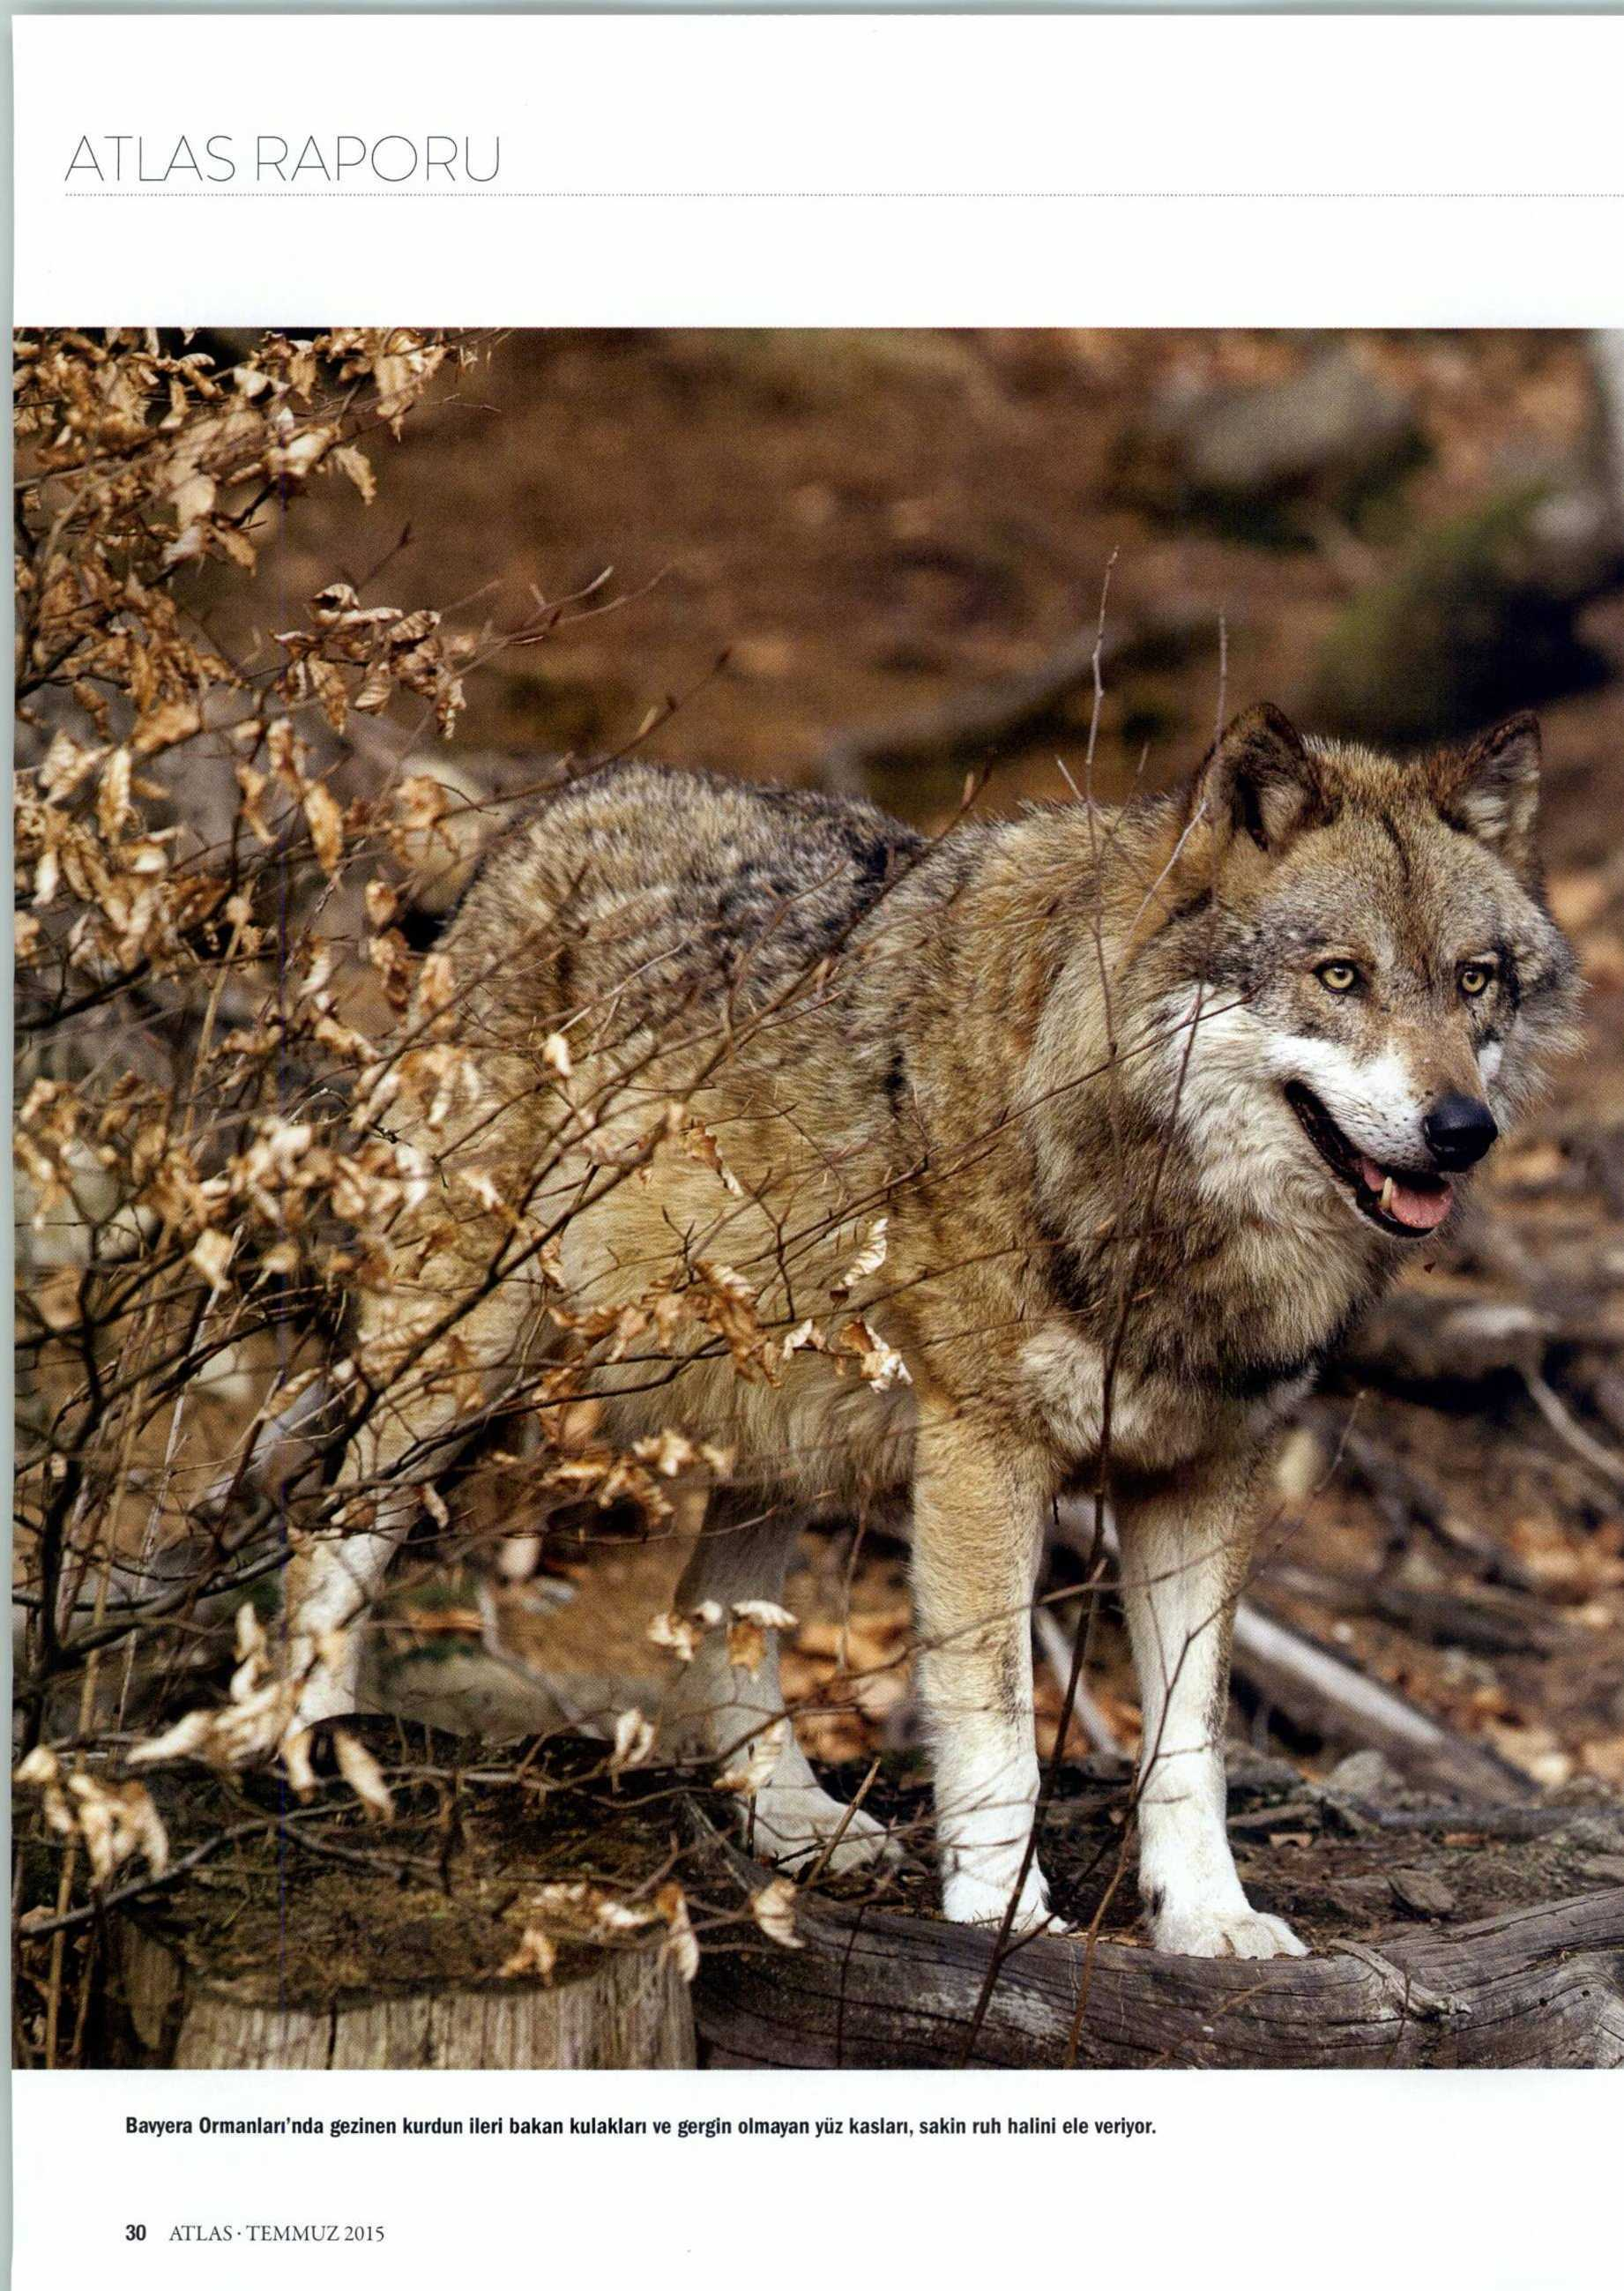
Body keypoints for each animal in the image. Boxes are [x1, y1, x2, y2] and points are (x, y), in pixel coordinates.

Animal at [288, 705, 1567, 1960]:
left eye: (1474, 981)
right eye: (1339, 975)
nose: (1463, 1129)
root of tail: (550, 812)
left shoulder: (1204, 1475)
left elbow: (1190, 1740)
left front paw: (1208, 1917)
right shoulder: (981, 1453)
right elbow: (996, 1719)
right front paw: (1004, 1916)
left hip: (776, 1413)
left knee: (710, 1615)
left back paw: (792, 1818)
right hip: (462, 1361)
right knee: (325, 1535)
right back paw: (309, 1756)